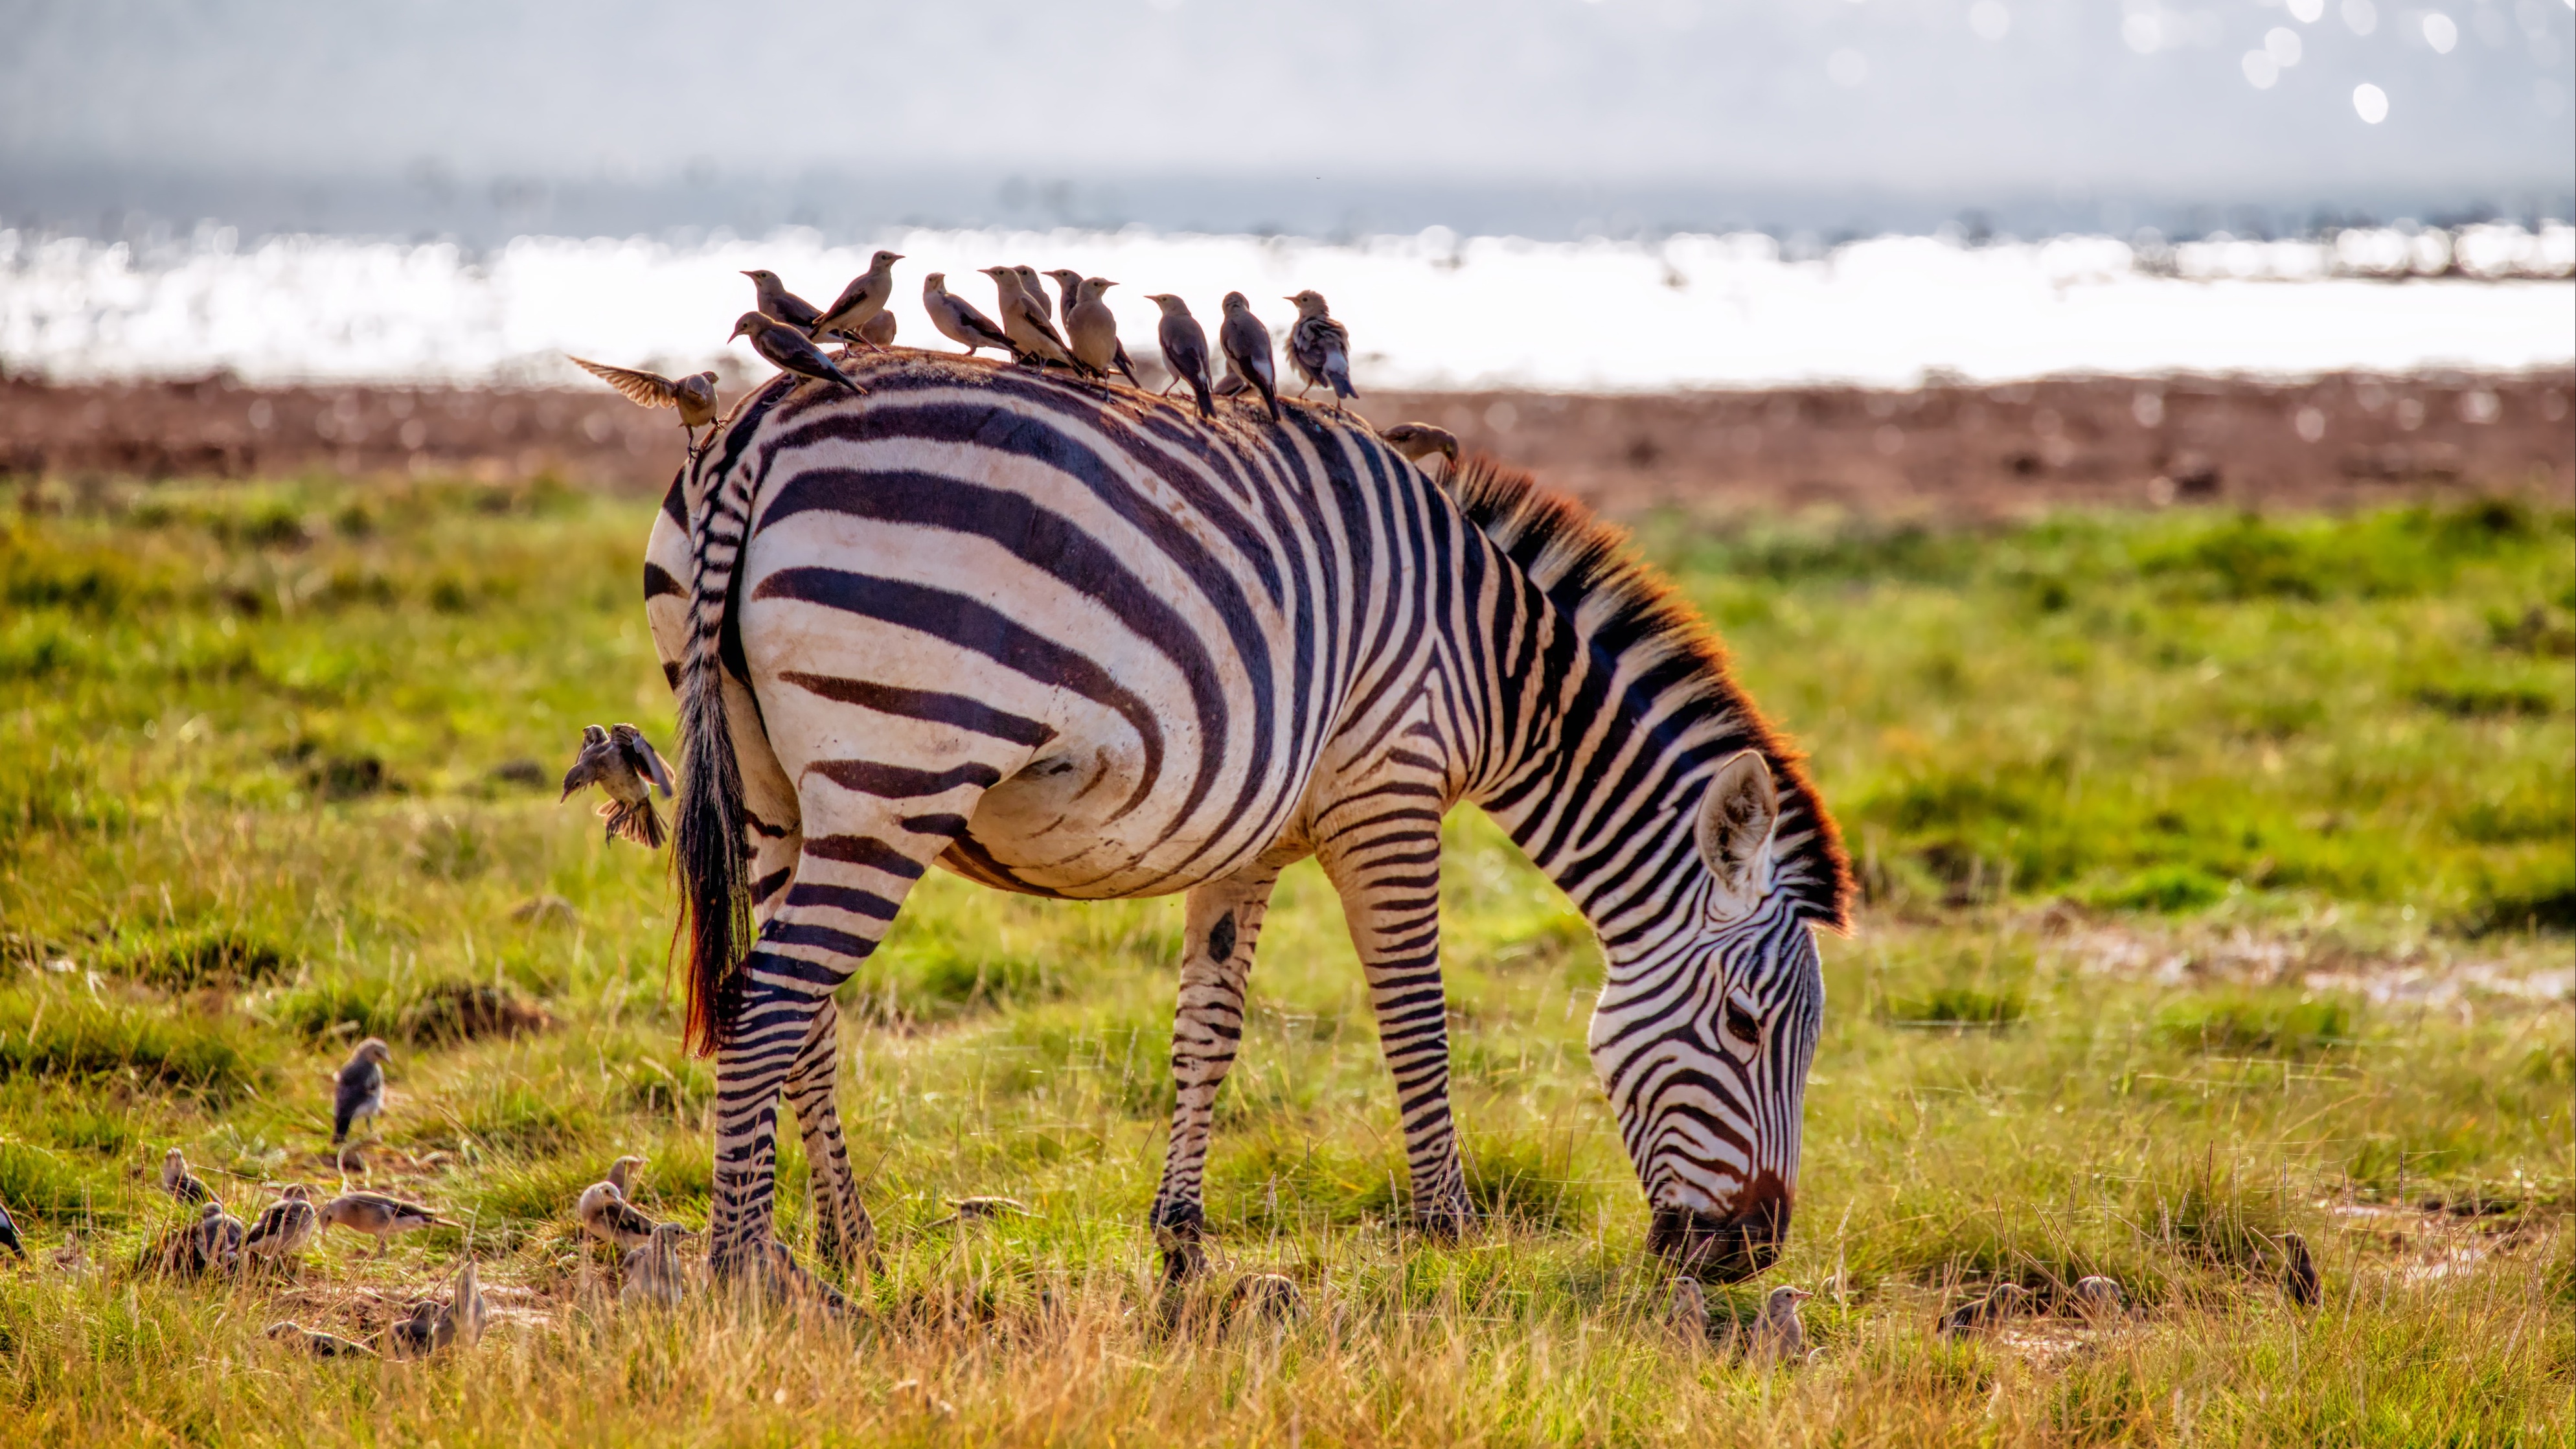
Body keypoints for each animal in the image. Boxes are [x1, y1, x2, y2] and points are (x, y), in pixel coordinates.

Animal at [639, 352, 1851, 1296]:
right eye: (1747, 1026)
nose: (1749, 1255)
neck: (1490, 658)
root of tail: (763, 415)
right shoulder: (1389, 788)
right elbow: (1416, 1016)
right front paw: (1450, 1234)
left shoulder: (1253, 835)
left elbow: (1207, 1029)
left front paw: (1180, 1241)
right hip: (894, 770)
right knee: (771, 1000)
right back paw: (740, 1272)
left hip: (773, 791)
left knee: (801, 1010)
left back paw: (848, 1247)